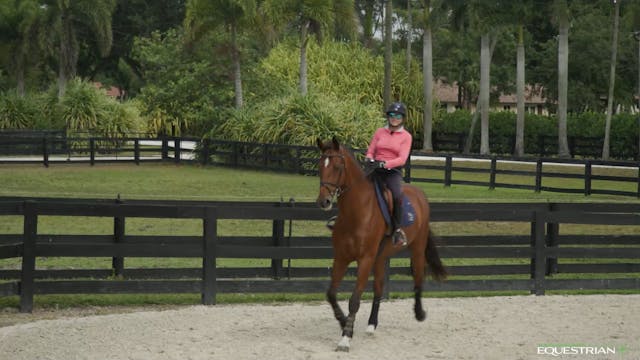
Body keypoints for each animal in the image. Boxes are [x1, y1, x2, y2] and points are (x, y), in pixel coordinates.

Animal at [314, 138, 444, 352]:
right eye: (320, 166)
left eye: (338, 166)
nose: (323, 201)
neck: (357, 212)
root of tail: (419, 194)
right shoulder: (341, 258)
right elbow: (331, 293)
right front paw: (343, 322)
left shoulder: (365, 260)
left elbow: (354, 300)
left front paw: (345, 338)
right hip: (381, 257)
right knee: (379, 289)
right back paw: (371, 324)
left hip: (416, 249)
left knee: (418, 278)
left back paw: (419, 313)